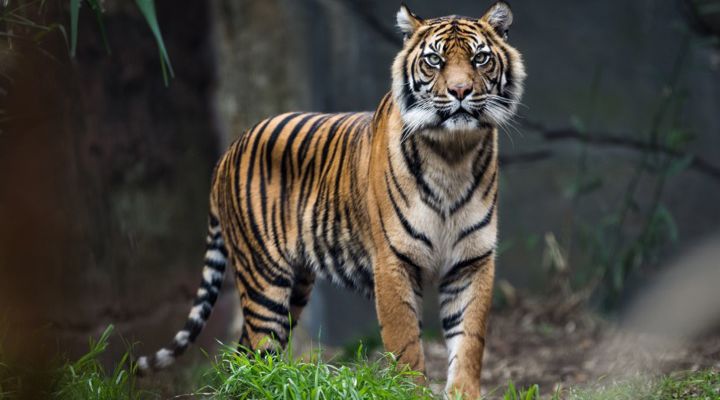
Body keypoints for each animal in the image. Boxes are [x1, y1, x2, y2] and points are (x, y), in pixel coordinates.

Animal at [136, 1, 525, 398]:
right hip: (264, 280)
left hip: (296, 286)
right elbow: (407, 349)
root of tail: (227, 152)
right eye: (434, 60)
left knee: (243, 354)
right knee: (256, 350)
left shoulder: (472, 262)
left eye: (479, 58)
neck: (452, 154)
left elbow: (469, 343)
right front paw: (409, 390)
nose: (460, 90)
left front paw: (463, 391)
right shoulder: (393, 263)